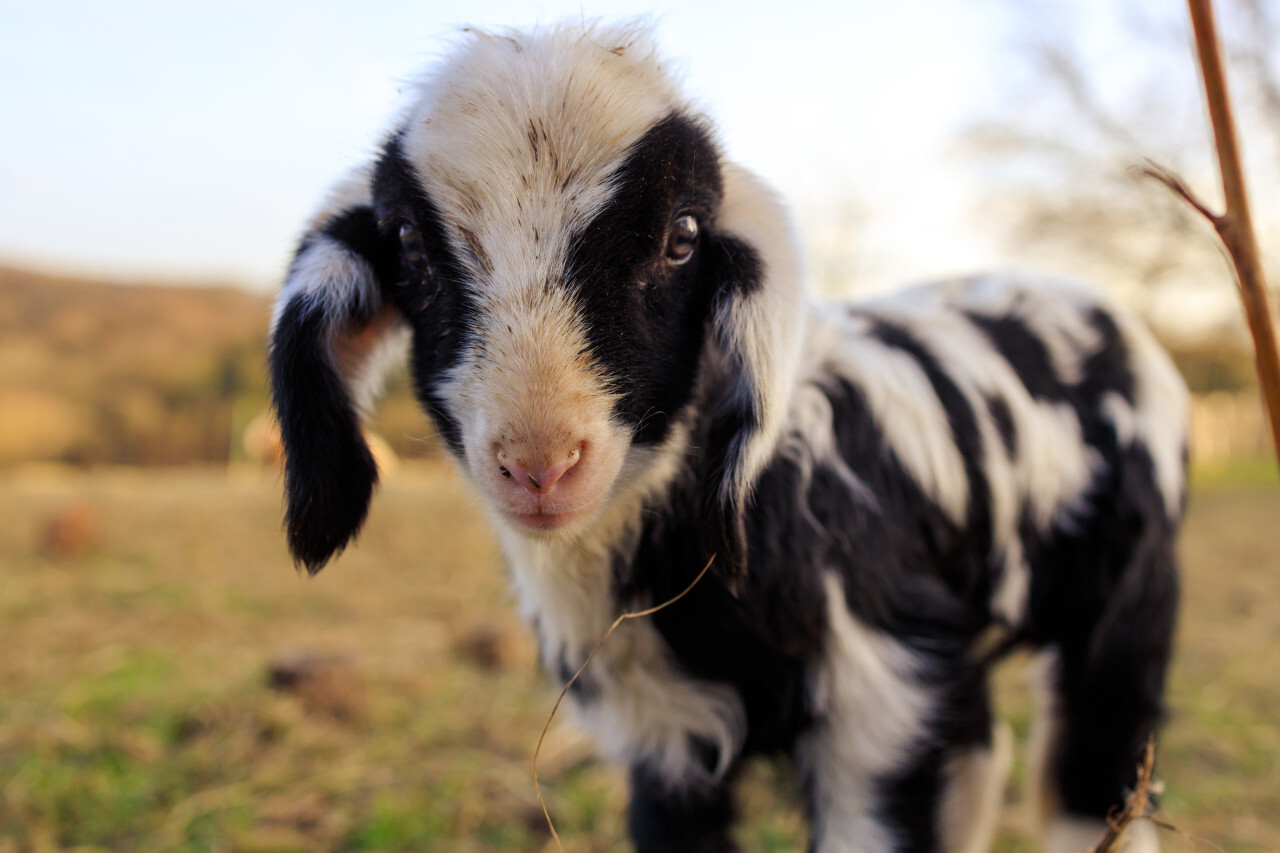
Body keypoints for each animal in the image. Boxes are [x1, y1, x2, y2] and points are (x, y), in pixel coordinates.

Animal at [270, 23, 1187, 850]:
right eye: (407, 242)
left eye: (683, 236)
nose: (540, 464)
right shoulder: (667, 737)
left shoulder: (881, 706)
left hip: (1126, 607)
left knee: (1095, 774)